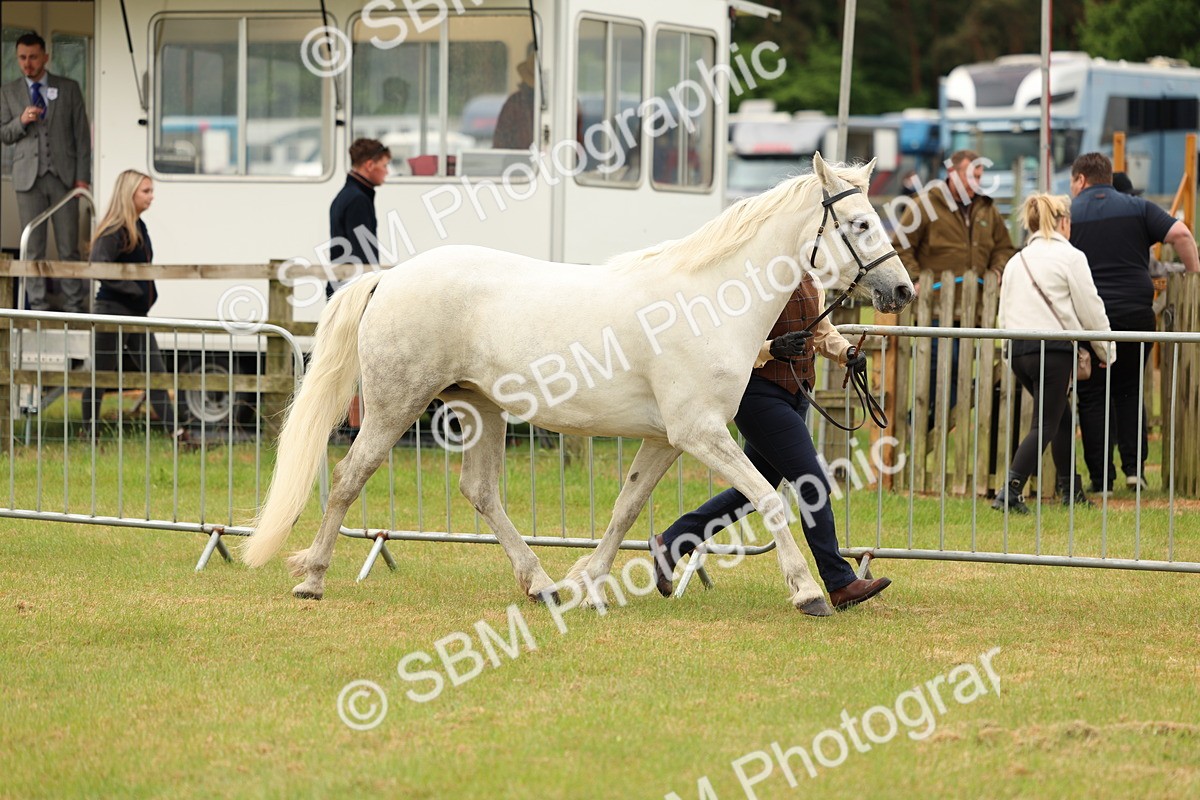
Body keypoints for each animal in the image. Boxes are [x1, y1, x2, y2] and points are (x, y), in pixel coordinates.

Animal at [242, 153, 914, 616]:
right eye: (860, 223)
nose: (903, 291)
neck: (710, 301)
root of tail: (392, 276)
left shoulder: (666, 439)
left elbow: (626, 508)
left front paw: (588, 584)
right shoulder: (699, 434)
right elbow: (771, 499)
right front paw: (808, 593)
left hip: (481, 409)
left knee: (480, 491)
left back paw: (540, 583)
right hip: (393, 405)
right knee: (349, 478)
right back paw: (312, 577)